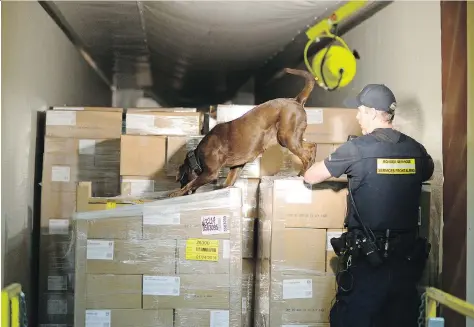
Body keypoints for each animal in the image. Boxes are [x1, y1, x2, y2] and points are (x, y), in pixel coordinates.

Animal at [170, 68, 314, 199]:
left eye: (181, 180)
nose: (179, 186)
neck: (197, 157)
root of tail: (296, 100)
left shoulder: (210, 173)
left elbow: (192, 183)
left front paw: (176, 193)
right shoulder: (236, 167)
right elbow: (227, 183)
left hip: (286, 138)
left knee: (306, 156)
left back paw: (302, 175)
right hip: (291, 138)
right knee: (312, 147)